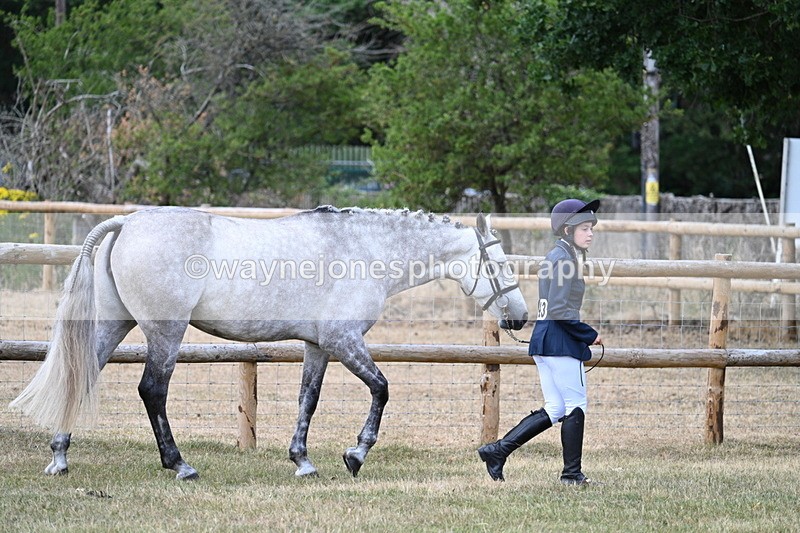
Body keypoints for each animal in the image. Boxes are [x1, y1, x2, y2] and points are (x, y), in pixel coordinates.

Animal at [11, 206, 528, 480]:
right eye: (501, 264)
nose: (520, 317)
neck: (364, 250)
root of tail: (127, 222)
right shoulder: (344, 340)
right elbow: (382, 389)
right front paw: (355, 455)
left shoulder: (319, 347)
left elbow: (308, 400)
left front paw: (303, 461)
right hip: (165, 331)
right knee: (152, 391)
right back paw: (180, 465)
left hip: (113, 325)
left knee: (81, 376)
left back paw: (59, 456)